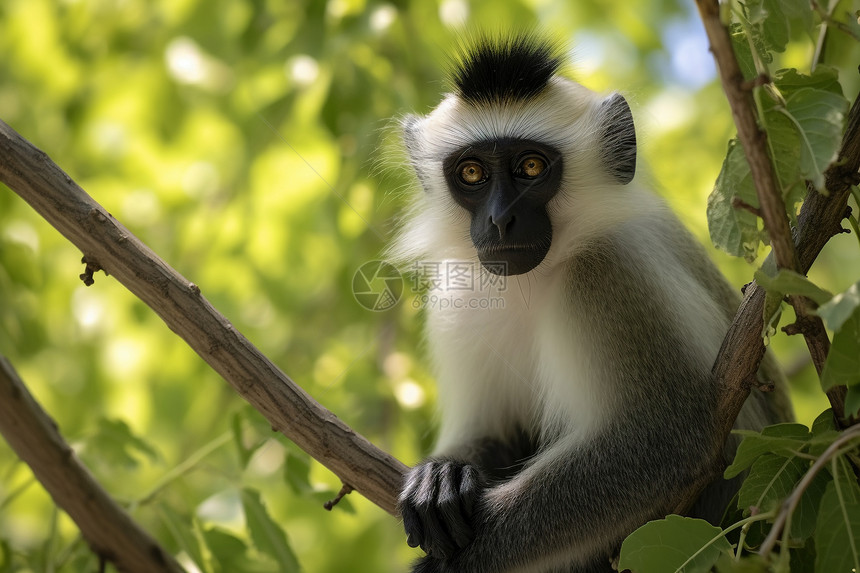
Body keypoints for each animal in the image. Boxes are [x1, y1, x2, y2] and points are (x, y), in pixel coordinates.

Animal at [390, 35, 792, 572]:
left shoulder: (606, 273)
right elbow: (493, 432)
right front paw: (443, 476)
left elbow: (664, 440)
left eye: (531, 167)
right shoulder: (458, 296)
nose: (499, 219)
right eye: (471, 173)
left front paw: (463, 556)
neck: (538, 279)